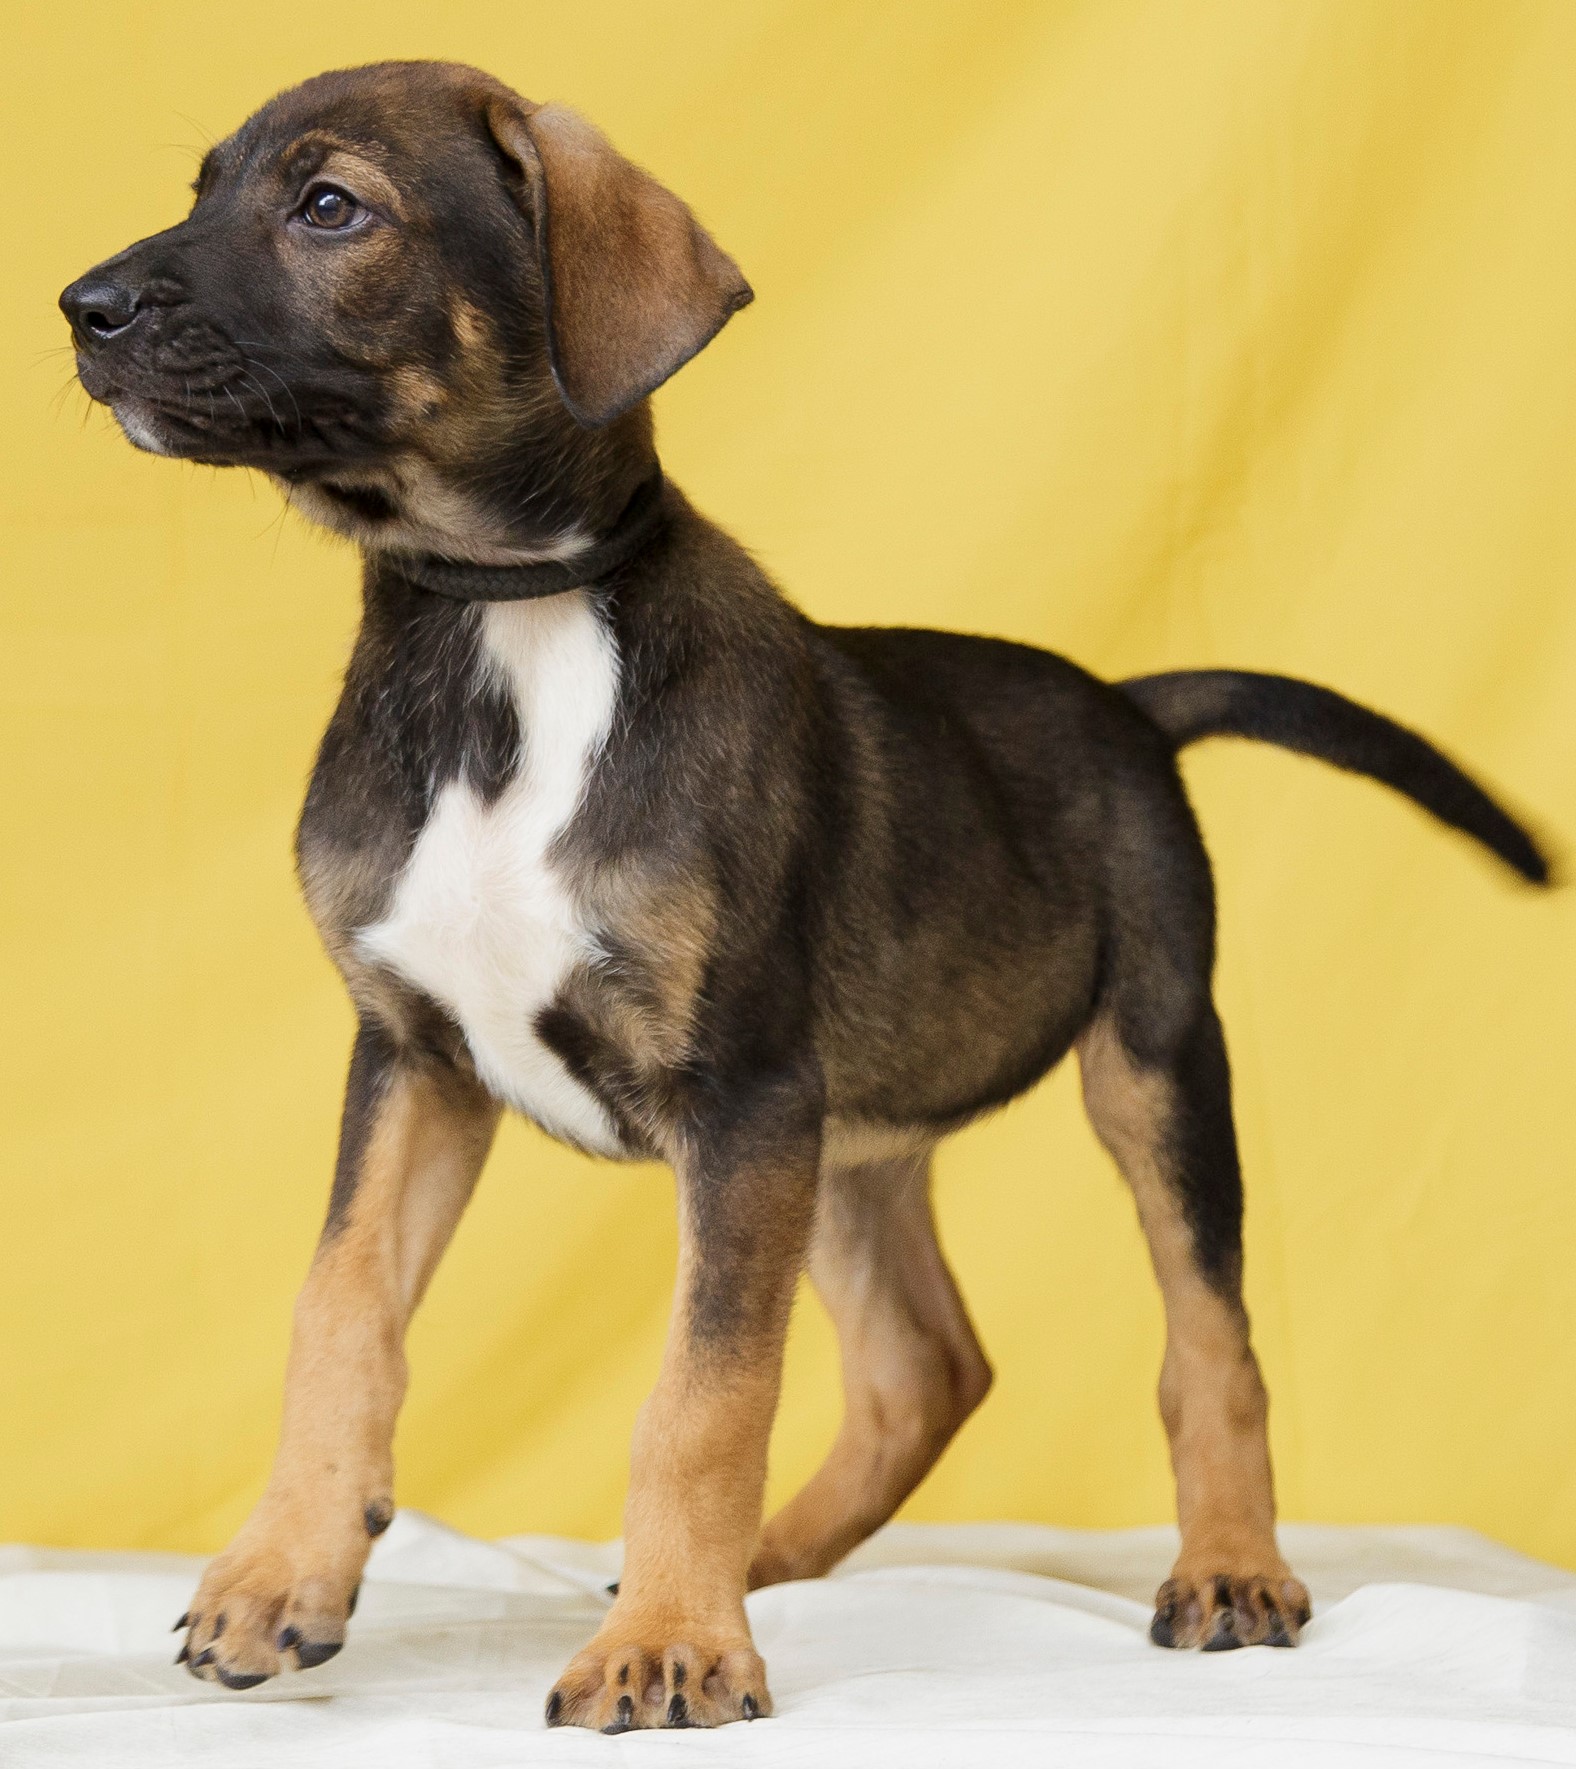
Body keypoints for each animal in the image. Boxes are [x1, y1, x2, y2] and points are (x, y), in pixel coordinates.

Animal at [64, 65, 1556, 1726]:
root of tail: (1124, 702)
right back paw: (769, 1558)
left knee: (1207, 1337)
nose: (81, 308)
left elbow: (702, 1394)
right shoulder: (413, 1055)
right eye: (202, 188)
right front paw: (282, 1577)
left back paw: (1228, 1568)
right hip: (845, 1138)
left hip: (1147, 1058)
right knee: (927, 1365)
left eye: (331, 207)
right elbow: (340, 1315)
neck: (506, 630)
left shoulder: (737, 1094)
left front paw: (670, 1644)